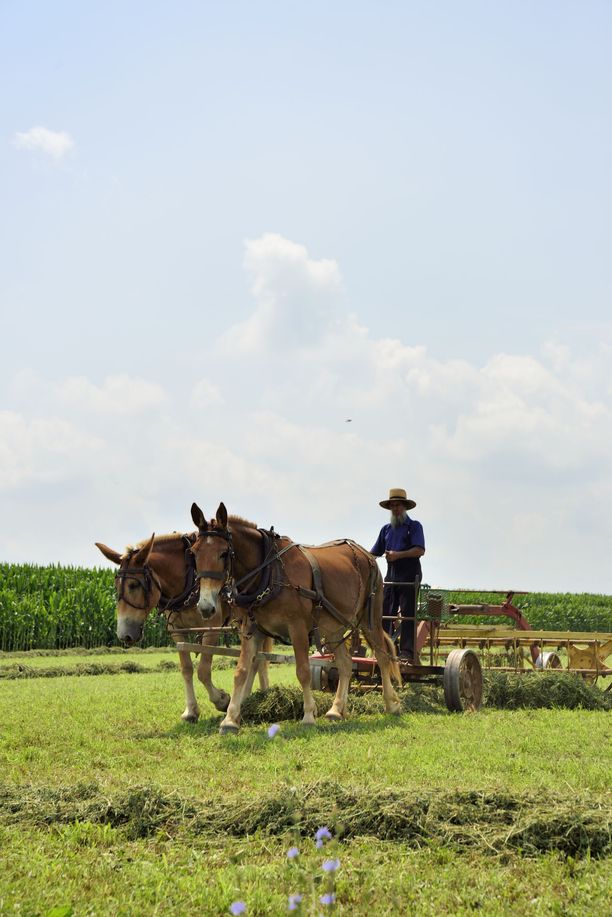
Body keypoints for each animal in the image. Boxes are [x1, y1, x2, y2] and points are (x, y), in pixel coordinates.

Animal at [94, 532, 270, 720]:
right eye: (115, 586)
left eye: (133, 585)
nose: (123, 635)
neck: (187, 581)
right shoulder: (176, 631)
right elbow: (186, 668)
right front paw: (191, 710)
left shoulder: (211, 628)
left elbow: (203, 670)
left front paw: (222, 700)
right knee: (256, 658)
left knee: (257, 660)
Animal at [190, 498, 402, 732]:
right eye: (194, 552)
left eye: (224, 553)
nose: (206, 606)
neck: (270, 572)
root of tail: (367, 556)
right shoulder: (251, 629)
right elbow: (241, 672)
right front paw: (229, 719)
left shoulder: (297, 627)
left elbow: (303, 671)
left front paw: (308, 715)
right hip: (334, 627)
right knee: (346, 664)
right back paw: (336, 709)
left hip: (369, 619)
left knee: (382, 657)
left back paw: (391, 704)